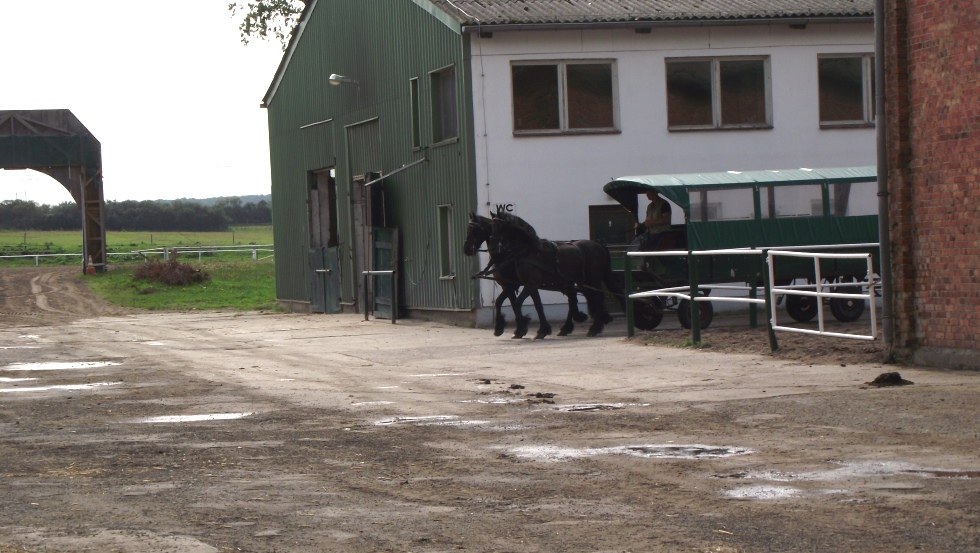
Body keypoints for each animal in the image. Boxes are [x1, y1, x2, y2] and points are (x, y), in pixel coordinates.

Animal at [490, 211, 620, 336]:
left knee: (596, 297)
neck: (530, 251)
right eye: (492, 225)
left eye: (499, 225)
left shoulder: (528, 284)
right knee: (577, 299)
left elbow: (518, 303)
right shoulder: (527, 285)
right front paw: (541, 330)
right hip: (578, 281)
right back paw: (572, 326)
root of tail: (599, 245)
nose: (494, 247)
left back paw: (594, 328)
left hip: (592, 279)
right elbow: (537, 305)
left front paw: (523, 328)